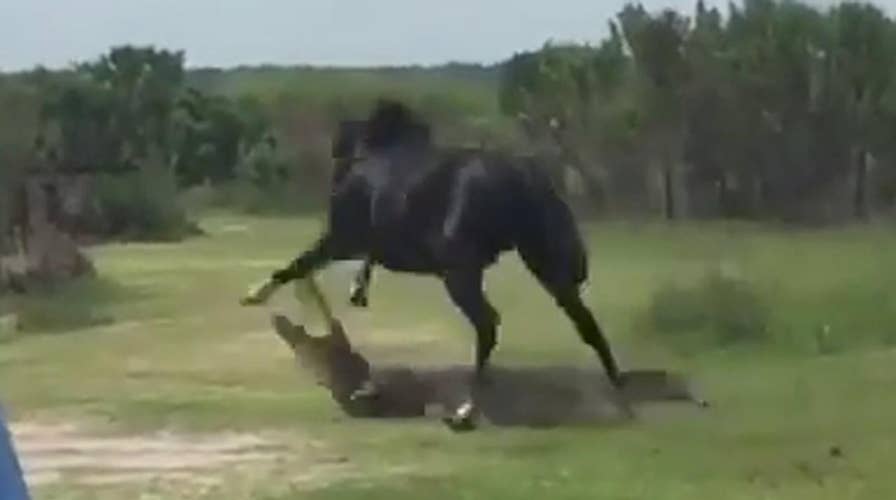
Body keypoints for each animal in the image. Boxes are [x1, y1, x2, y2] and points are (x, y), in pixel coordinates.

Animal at [242, 99, 628, 428]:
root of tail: (525, 176)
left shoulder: (341, 240)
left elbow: (296, 268)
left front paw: (258, 298)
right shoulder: (355, 247)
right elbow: (312, 275)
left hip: (460, 274)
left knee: (488, 324)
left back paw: (466, 410)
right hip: (542, 263)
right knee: (582, 320)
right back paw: (616, 386)